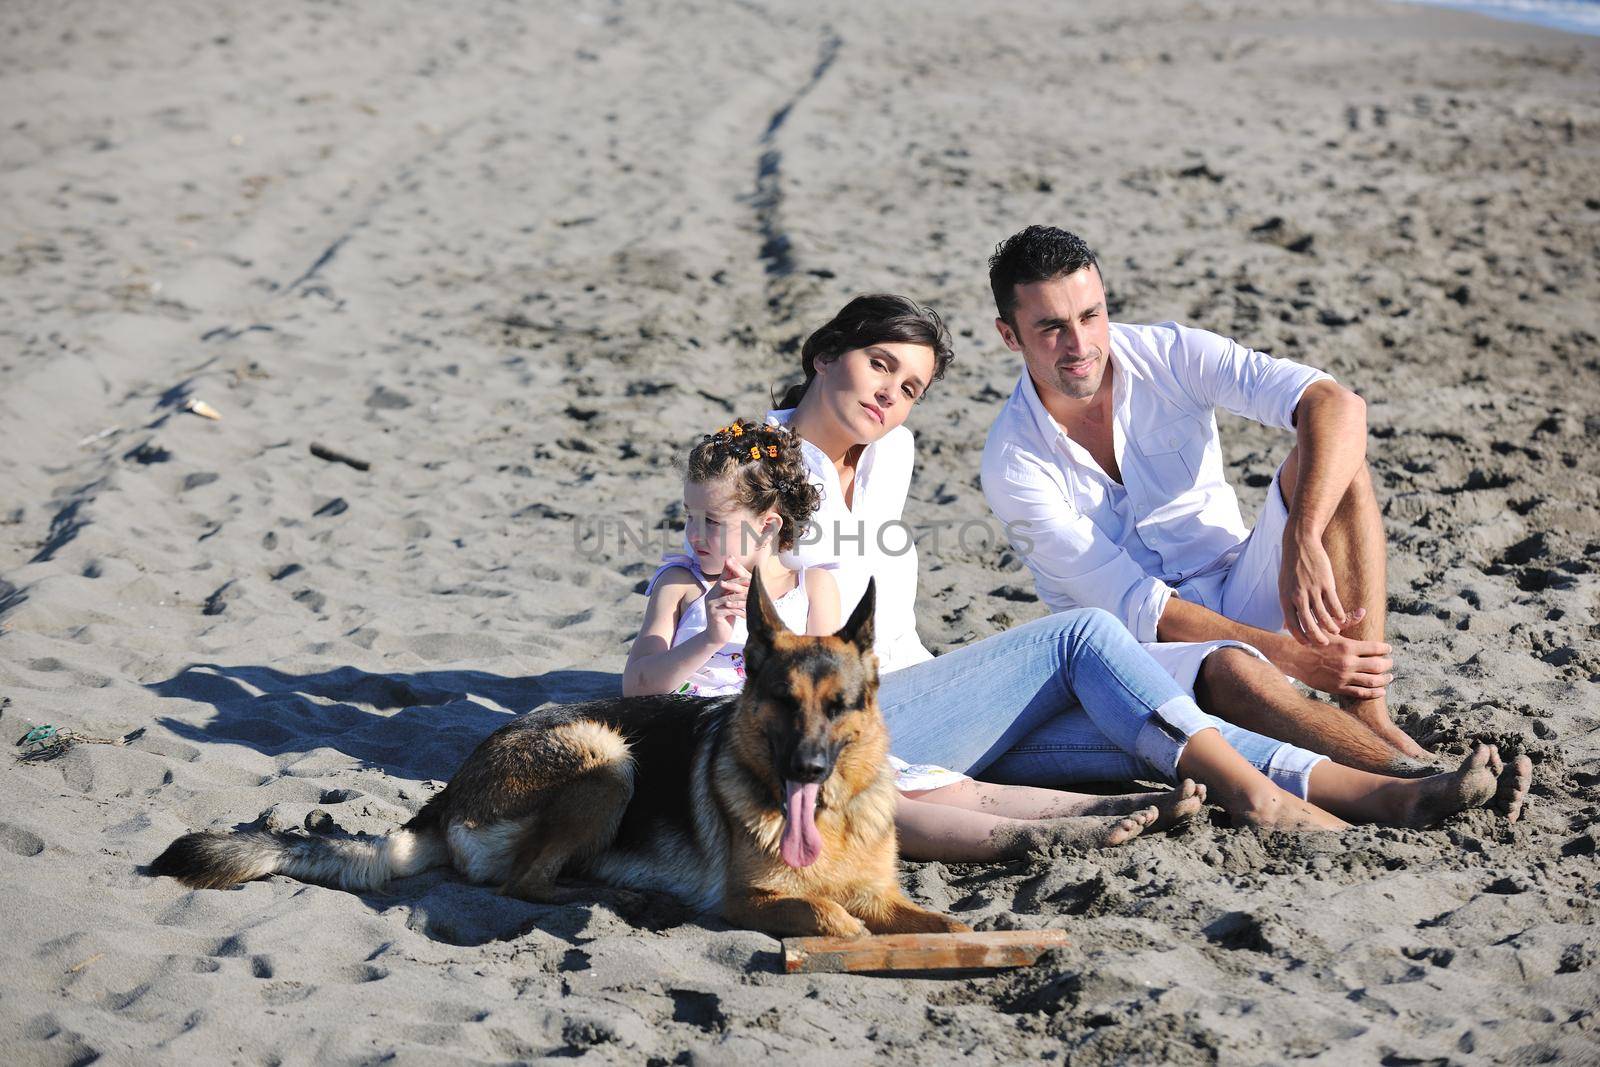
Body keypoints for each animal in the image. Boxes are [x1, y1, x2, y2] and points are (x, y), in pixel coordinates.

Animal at [156, 572, 966, 940]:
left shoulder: (883, 894)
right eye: (783, 701)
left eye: (840, 706)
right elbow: (829, 913)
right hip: (606, 757)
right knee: (524, 882)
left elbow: (941, 925)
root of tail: (448, 793)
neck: (829, 820)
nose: (807, 771)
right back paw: (619, 900)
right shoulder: (746, 901)